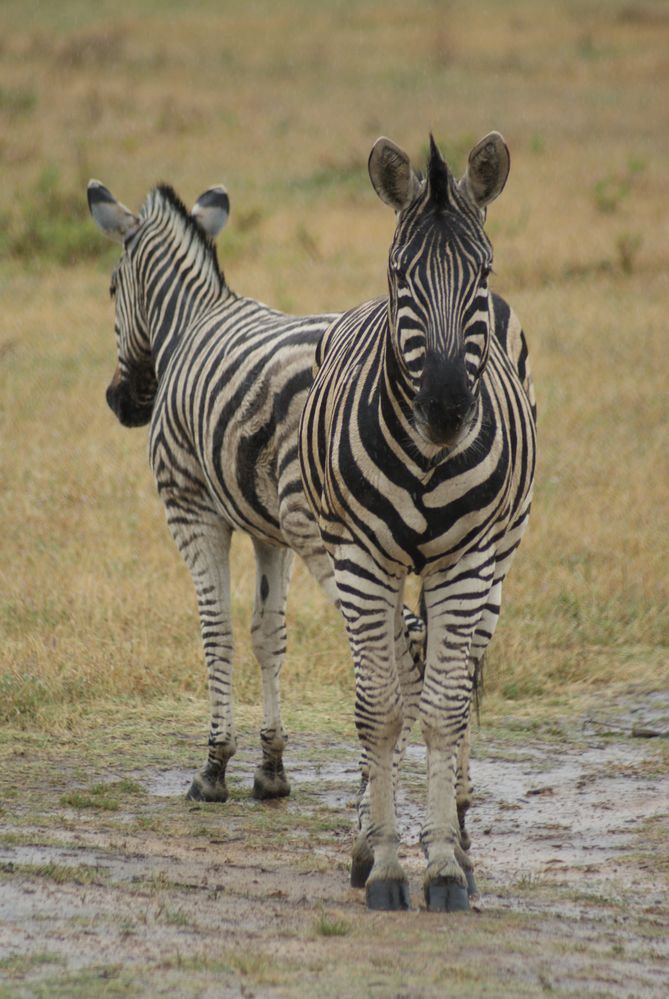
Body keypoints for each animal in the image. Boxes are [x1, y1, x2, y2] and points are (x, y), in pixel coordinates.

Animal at [87, 178, 428, 804]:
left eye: (112, 288)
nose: (122, 404)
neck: (189, 322)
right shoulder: (270, 531)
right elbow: (268, 633)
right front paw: (271, 768)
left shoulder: (193, 510)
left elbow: (216, 628)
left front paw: (214, 766)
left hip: (336, 538)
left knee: (398, 645)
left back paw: (380, 795)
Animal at [300, 135, 536, 916]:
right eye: (401, 275)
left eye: (482, 271)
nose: (445, 408)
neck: (428, 461)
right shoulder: (361, 564)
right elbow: (380, 709)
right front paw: (382, 864)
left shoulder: (464, 565)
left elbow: (441, 709)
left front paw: (440, 866)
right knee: (396, 674)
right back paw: (370, 836)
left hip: (495, 564)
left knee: (455, 683)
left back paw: (456, 833)